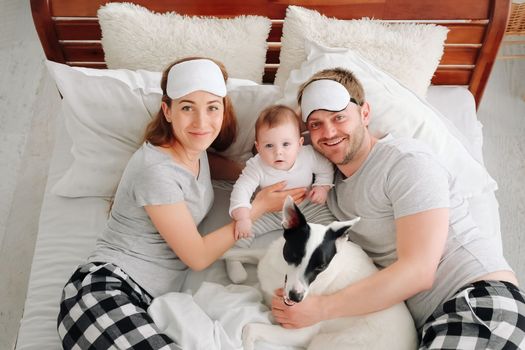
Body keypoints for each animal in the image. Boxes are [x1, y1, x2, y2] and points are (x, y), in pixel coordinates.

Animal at [242, 197, 418, 350]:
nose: (296, 298)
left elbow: (250, 327)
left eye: (322, 266)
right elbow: (238, 253)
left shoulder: (298, 332)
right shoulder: (266, 256)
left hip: (322, 343)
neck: (280, 272)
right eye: (295, 255)